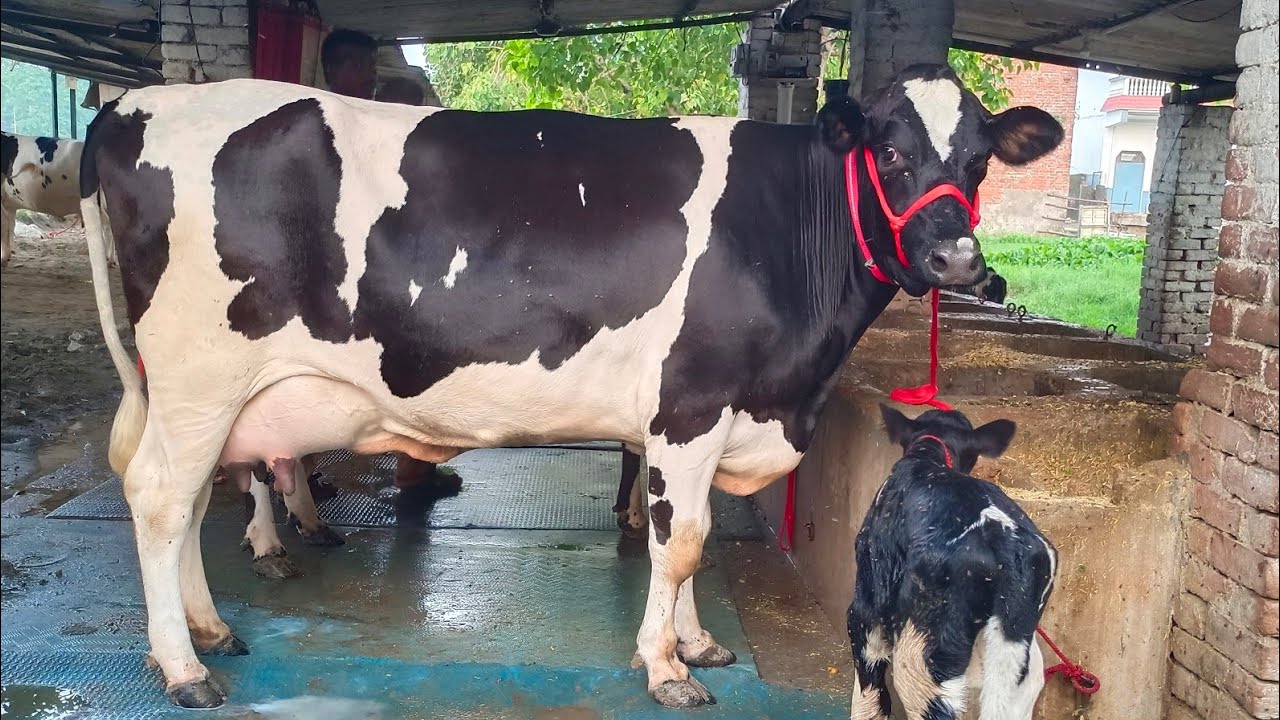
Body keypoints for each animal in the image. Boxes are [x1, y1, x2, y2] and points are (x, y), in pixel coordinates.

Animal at [848, 406, 1056, 720]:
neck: (930, 454)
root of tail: (1008, 540)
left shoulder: (865, 610)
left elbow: (867, 695)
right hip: (1018, 659)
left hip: (920, 656)